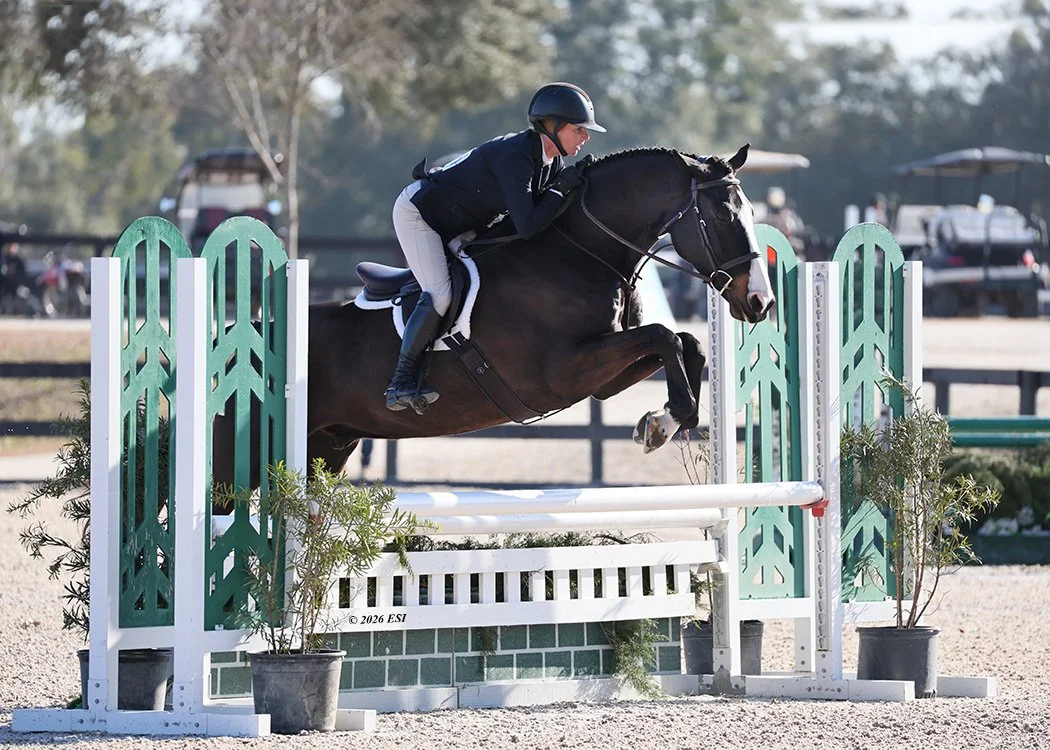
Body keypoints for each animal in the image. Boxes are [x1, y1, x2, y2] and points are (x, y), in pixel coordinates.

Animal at [215, 144, 774, 488]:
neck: (577, 251)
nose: (760, 303)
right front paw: (667, 418)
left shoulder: (600, 377)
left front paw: (663, 420)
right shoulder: (565, 371)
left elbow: (685, 342)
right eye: (723, 215)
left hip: (327, 448)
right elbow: (663, 335)